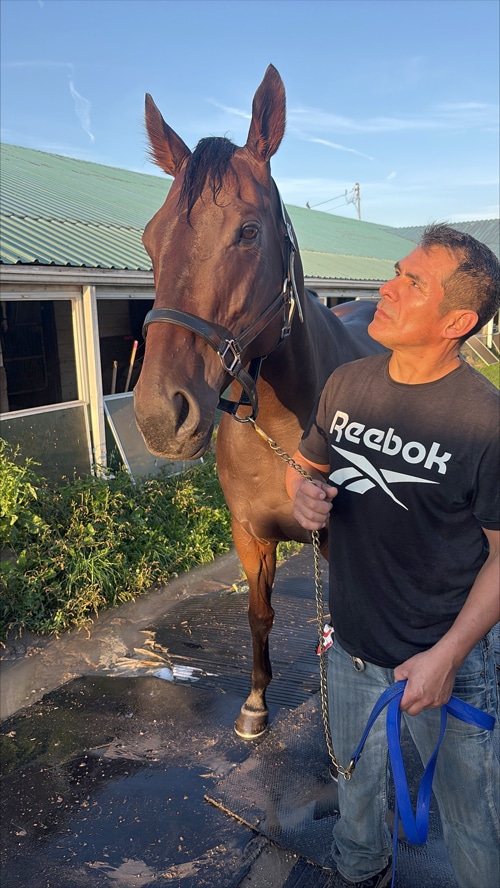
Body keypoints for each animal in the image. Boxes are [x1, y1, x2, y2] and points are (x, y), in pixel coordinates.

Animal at [134, 64, 386, 739]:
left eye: (248, 231)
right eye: (150, 239)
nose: (160, 414)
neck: (282, 426)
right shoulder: (250, 535)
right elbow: (259, 613)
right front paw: (254, 703)